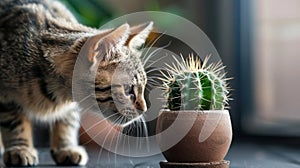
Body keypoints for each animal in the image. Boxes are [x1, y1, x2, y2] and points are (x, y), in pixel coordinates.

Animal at [0, 0, 151, 166]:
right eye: (128, 90)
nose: (144, 109)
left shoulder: (71, 107)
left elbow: (67, 122)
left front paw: (66, 147)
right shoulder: (5, 96)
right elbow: (14, 122)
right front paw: (20, 148)